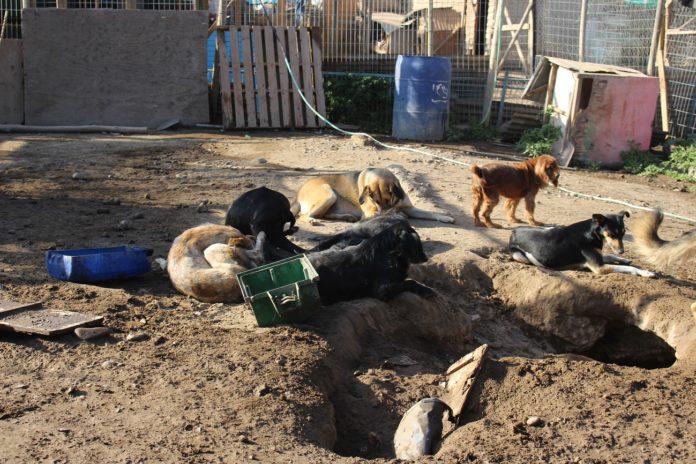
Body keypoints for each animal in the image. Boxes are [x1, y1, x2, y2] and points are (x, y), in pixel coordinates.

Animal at [290, 168, 454, 224]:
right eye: (375, 201)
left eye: (389, 200)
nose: (383, 211)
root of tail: (298, 193)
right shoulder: (370, 212)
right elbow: (387, 214)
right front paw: (397, 215)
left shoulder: (409, 208)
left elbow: (430, 213)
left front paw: (445, 217)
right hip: (329, 194)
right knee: (303, 215)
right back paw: (311, 220)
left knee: (323, 215)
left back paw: (347, 217)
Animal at [308, 221, 436, 304]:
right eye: (417, 243)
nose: (426, 259)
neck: (388, 252)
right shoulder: (383, 289)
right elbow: (410, 282)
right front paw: (427, 290)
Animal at [508, 212, 656, 278]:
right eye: (611, 234)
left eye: (624, 233)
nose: (621, 251)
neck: (592, 233)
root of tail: (515, 230)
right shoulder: (599, 267)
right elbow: (630, 268)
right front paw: (646, 272)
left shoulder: (597, 257)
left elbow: (609, 255)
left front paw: (624, 259)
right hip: (519, 256)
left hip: (549, 228)